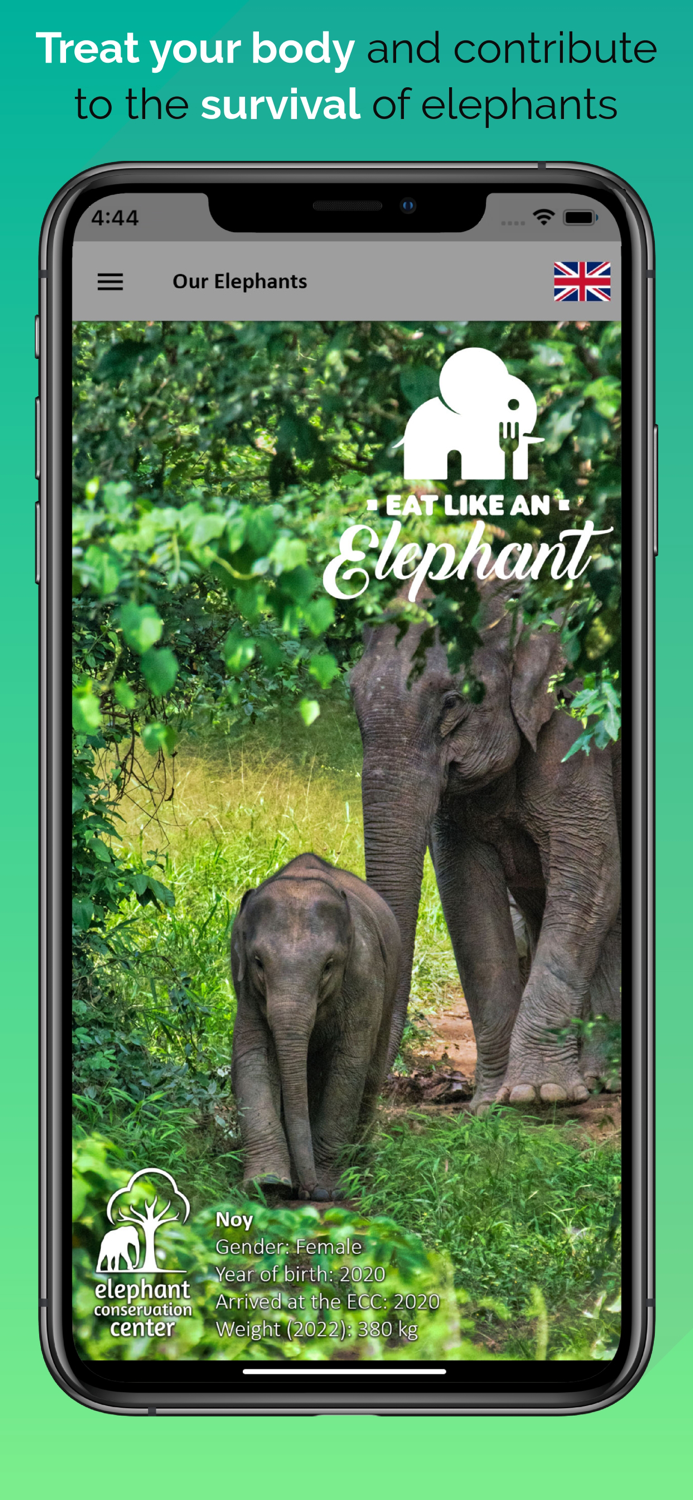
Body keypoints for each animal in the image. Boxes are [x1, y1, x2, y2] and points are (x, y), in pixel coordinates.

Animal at [230, 853, 401, 1200]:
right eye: (258, 962)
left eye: (328, 966)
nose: (309, 1192)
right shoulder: (249, 990)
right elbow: (252, 1055)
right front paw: (267, 1184)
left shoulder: (365, 976)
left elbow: (349, 1064)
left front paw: (330, 1187)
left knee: (370, 1074)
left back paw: (362, 1165)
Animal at [350, 581, 621, 1109]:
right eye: (351, 693)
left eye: (453, 701)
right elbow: (466, 893)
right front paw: (490, 1104)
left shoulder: (578, 738)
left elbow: (592, 872)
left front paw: (539, 1095)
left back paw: (604, 1080)